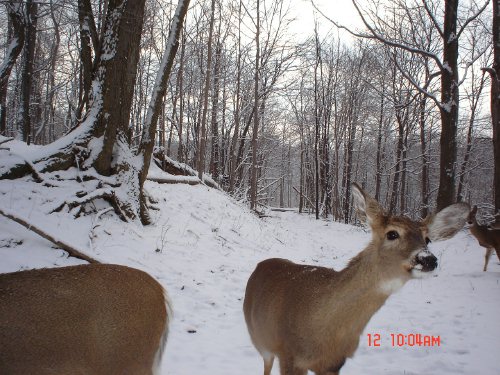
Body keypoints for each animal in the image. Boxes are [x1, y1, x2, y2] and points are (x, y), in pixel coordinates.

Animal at [244, 184, 470, 374]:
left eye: (427, 239)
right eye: (392, 234)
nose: (427, 259)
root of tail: (261, 264)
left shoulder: (333, 364)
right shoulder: (288, 354)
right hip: (260, 341)